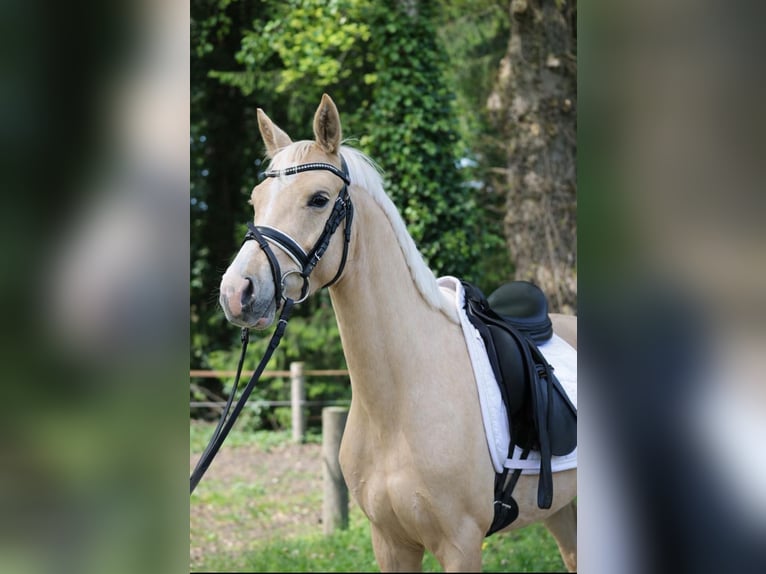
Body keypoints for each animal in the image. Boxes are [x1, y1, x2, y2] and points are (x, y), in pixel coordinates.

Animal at [218, 94, 577, 572]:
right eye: (256, 199)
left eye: (318, 199)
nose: (237, 292)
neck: (399, 401)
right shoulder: (389, 541)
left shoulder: (461, 545)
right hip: (562, 512)